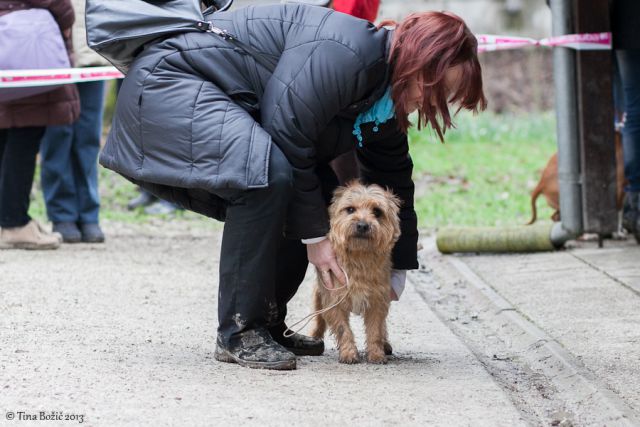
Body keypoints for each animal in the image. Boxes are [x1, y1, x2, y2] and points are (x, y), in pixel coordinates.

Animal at [310, 182, 400, 366]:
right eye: (350, 209)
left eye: (377, 212)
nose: (363, 225)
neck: (359, 256)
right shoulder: (334, 300)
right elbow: (343, 329)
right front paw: (349, 353)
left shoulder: (377, 301)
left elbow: (375, 330)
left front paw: (376, 354)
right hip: (318, 295)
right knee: (319, 317)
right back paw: (313, 337)